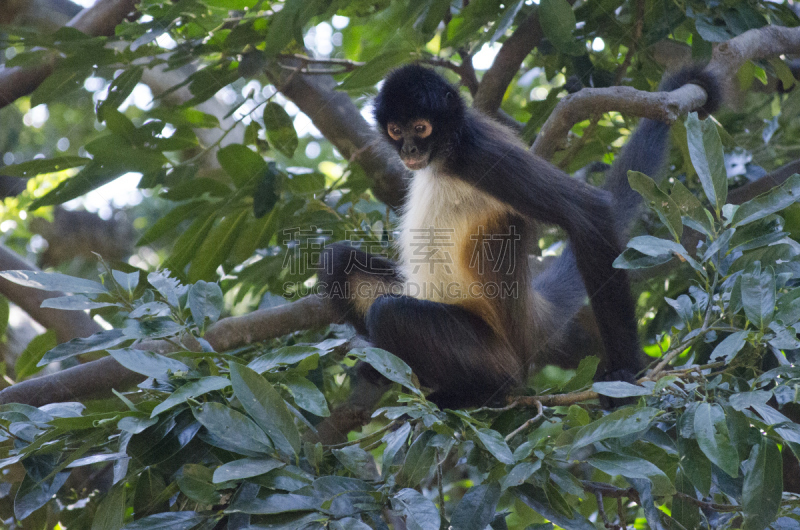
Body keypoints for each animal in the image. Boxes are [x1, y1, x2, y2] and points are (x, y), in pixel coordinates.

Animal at [318, 64, 720, 406]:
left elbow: (587, 210)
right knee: (336, 261)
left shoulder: (479, 155)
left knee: (390, 311)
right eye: (396, 131)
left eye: (421, 128)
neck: (448, 152)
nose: (409, 150)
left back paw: (484, 393)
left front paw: (625, 373)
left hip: (494, 357)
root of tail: (529, 320)